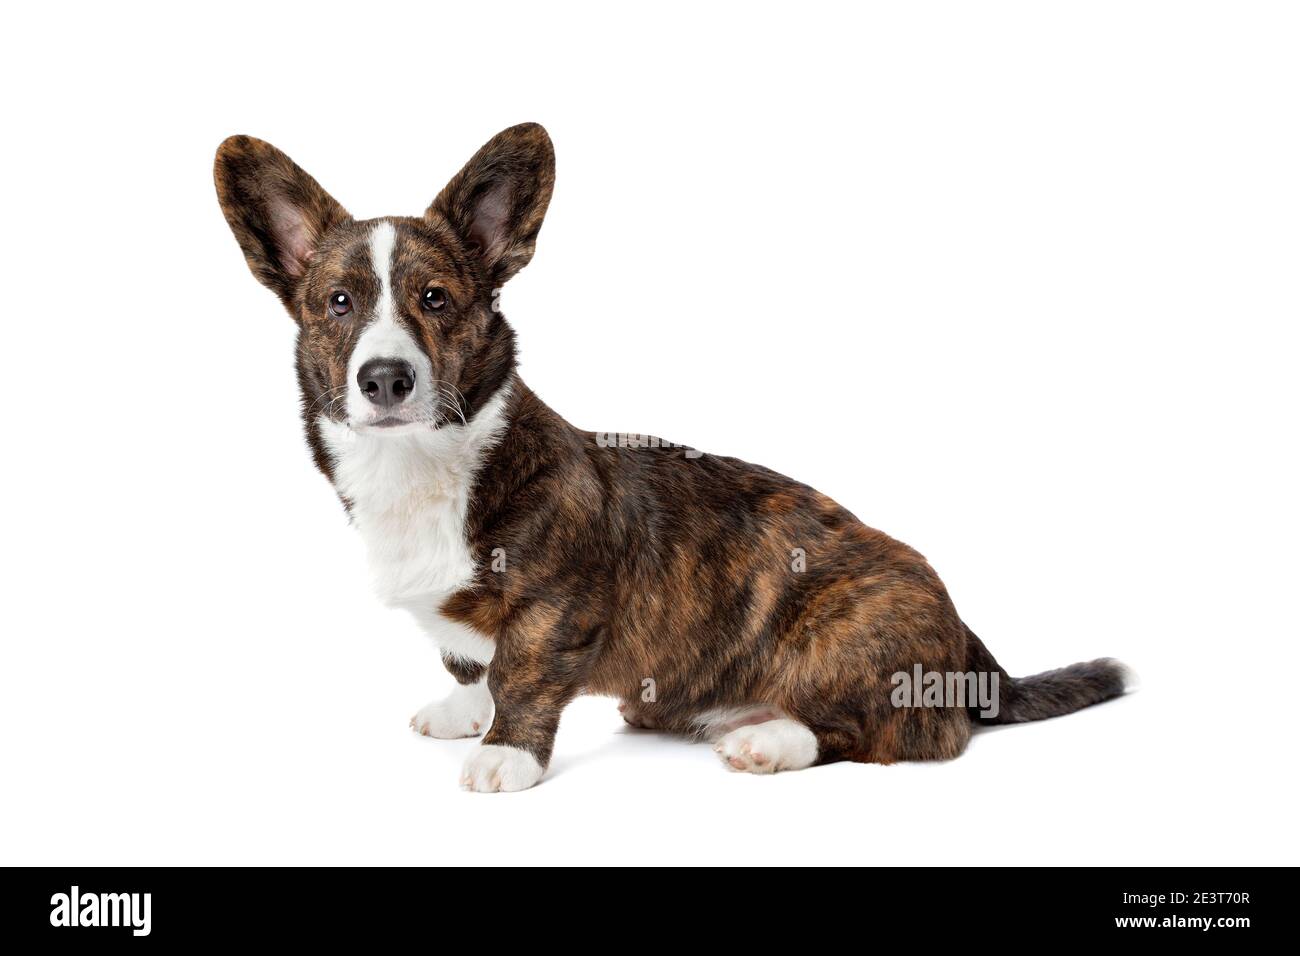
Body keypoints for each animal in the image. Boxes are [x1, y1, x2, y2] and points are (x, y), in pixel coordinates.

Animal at [215, 121, 1128, 790]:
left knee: (907, 733)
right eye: (339, 302)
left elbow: (522, 671)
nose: (385, 378)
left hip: (851, 631)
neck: (425, 465)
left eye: (435, 299)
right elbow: (470, 659)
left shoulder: (556, 604)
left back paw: (772, 741)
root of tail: (969, 645)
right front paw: (461, 708)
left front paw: (504, 751)